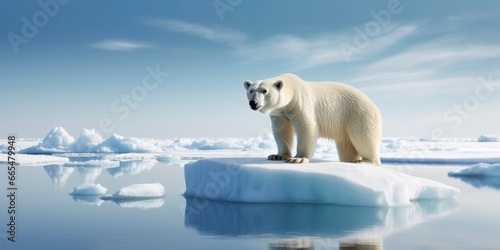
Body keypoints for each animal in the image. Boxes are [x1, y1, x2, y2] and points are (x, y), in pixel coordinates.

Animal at [244, 73, 380, 165]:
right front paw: (277, 156)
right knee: (347, 147)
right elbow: (282, 131)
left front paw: (298, 158)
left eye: (264, 91)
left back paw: (365, 161)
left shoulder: (300, 103)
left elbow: (306, 127)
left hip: (359, 115)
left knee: (363, 137)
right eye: (251, 90)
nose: (253, 103)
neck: (292, 91)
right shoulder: (279, 113)